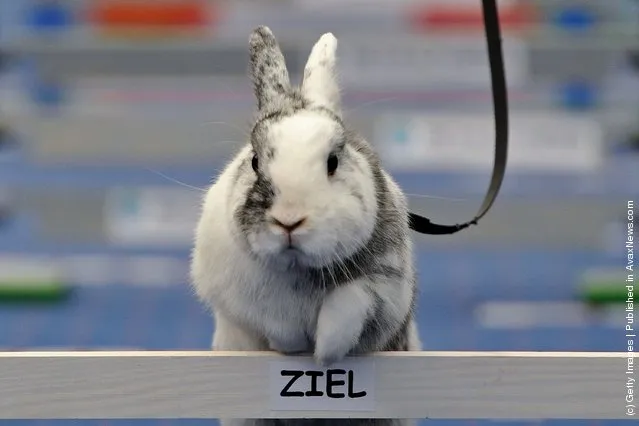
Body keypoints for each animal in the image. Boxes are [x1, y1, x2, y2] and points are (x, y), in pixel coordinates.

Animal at [190, 25, 420, 426]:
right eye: (255, 161)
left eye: (333, 162)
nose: (289, 221)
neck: (298, 267)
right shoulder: (242, 299)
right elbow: (275, 323)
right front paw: (295, 346)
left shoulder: (386, 289)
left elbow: (350, 304)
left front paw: (324, 354)